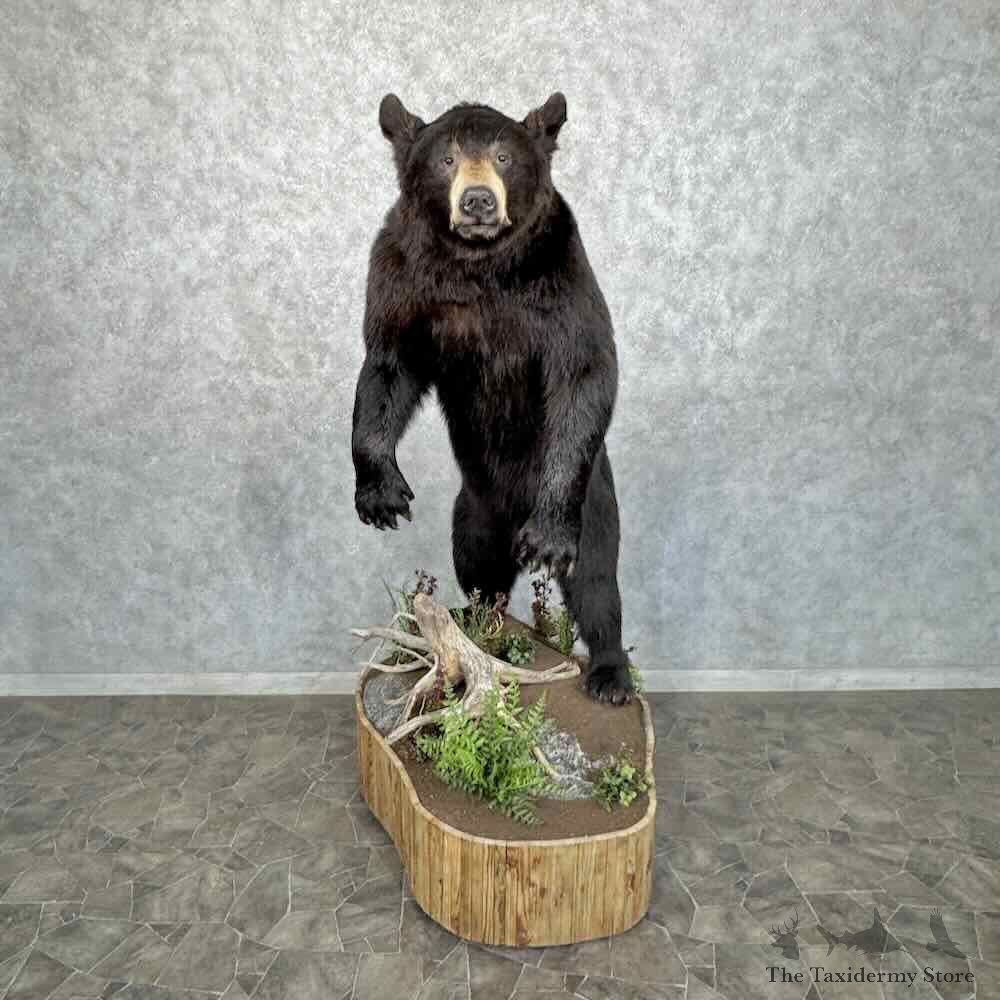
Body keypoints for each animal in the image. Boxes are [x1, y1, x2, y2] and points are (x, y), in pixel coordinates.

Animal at [351, 92, 633, 705]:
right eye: (447, 158)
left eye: (504, 156)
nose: (477, 200)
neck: (478, 266)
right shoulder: (402, 277)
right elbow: (388, 368)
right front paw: (381, 495)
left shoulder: (560, 277)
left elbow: (585, 370)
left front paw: (547, 541)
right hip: (473, 507)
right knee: (477, 564)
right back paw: (481, 619)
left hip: (594, 499)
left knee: (597, 579)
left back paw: (610, 673)